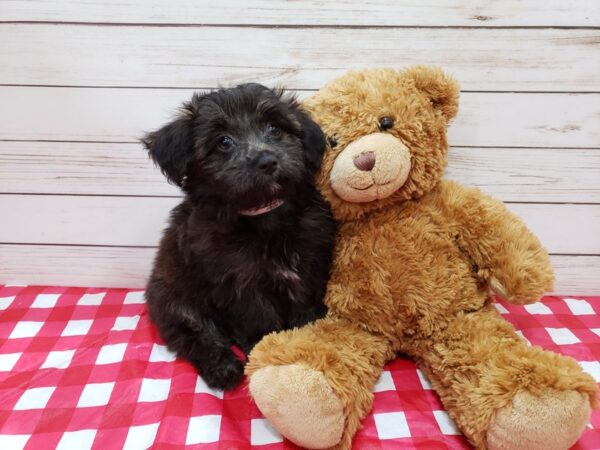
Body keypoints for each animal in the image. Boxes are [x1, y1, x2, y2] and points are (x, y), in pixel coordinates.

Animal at [142, 84, 338, 390]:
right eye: (224, 142)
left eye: (274, 128)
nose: (267, 161)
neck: (263, 214)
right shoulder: (239, 281)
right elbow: (257, 316)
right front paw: (263, 346)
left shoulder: (309, 263)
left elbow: (304, 303)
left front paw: (303, 333)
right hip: (173, 300)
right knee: (194, 334)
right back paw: (223, 368)